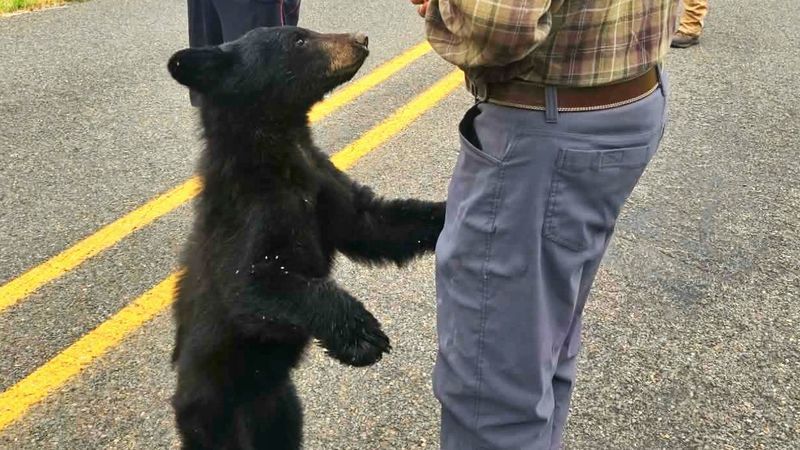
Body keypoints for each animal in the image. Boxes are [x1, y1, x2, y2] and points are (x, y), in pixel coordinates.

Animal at [167, 26, 445, 450]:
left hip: (280, 406)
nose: (361, 38)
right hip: (214, 414)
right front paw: (361, 334)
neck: (282, 153)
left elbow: (374, 224)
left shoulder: (323, 183)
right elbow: (255, 284)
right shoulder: (248, 215)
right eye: (298, 40)